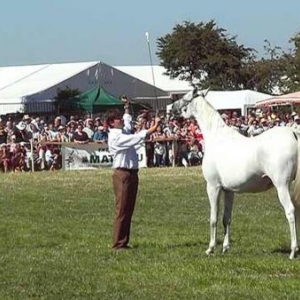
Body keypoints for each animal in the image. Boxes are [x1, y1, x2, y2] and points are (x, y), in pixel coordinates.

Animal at [172, 88, 300, 258]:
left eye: (185, 98)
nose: (171, 109)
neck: (217, 138)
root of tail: (293, 132)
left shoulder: (213, 187)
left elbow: (213, 218)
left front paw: (210, 248)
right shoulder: (229, 190)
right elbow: (226, 218)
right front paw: (225, 247)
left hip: (282, 186)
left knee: (291, 212)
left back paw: (293, 251)